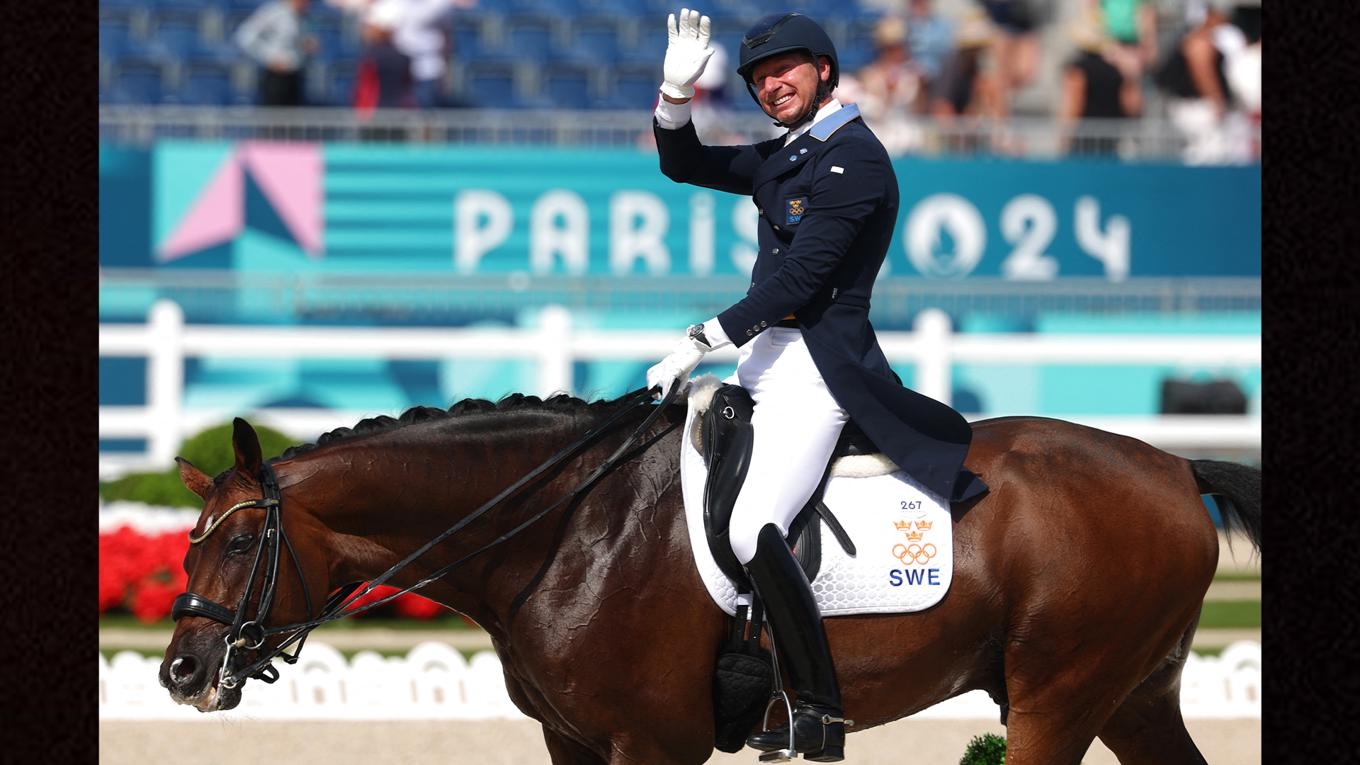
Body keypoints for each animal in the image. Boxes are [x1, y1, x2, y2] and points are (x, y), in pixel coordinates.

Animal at [161, 389, 1262, 756]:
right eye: (189, 539)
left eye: (244, 543)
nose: (181, 671)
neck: (561, 530)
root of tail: (1174, 465)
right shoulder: (575, 743)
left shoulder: (656, 742)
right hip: (1130, 695)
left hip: (1056, 698)